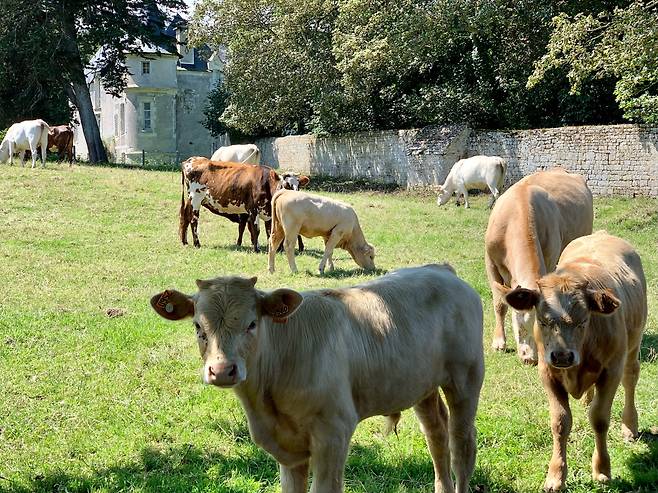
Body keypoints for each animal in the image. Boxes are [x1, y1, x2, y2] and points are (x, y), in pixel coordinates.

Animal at [151, 264, 484, 492]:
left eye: (252, 324)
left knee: (462, 446)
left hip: (466, 379)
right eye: (198, 326)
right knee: (436, 435)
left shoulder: (334, 433)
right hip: (421, 386)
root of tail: (440, 269)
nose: (222, 370)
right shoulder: (289, 452)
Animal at [482, 167, 596, 364]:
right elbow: (499, 304)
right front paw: (499, 342)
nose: (530, 358)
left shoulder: (550, 259)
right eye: (519, 323)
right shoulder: (490, 262)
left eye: (545, 327)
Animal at [504, 232, 644, 492]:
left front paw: (602, 469)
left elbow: (599, 418)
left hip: (633, 347)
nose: (562, 355)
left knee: (630, 379)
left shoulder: (611, 371)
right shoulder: (548, 374)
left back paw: (629, 426)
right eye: (542, 320)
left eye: (584, 320)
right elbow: (560, 422)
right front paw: (556, 475)